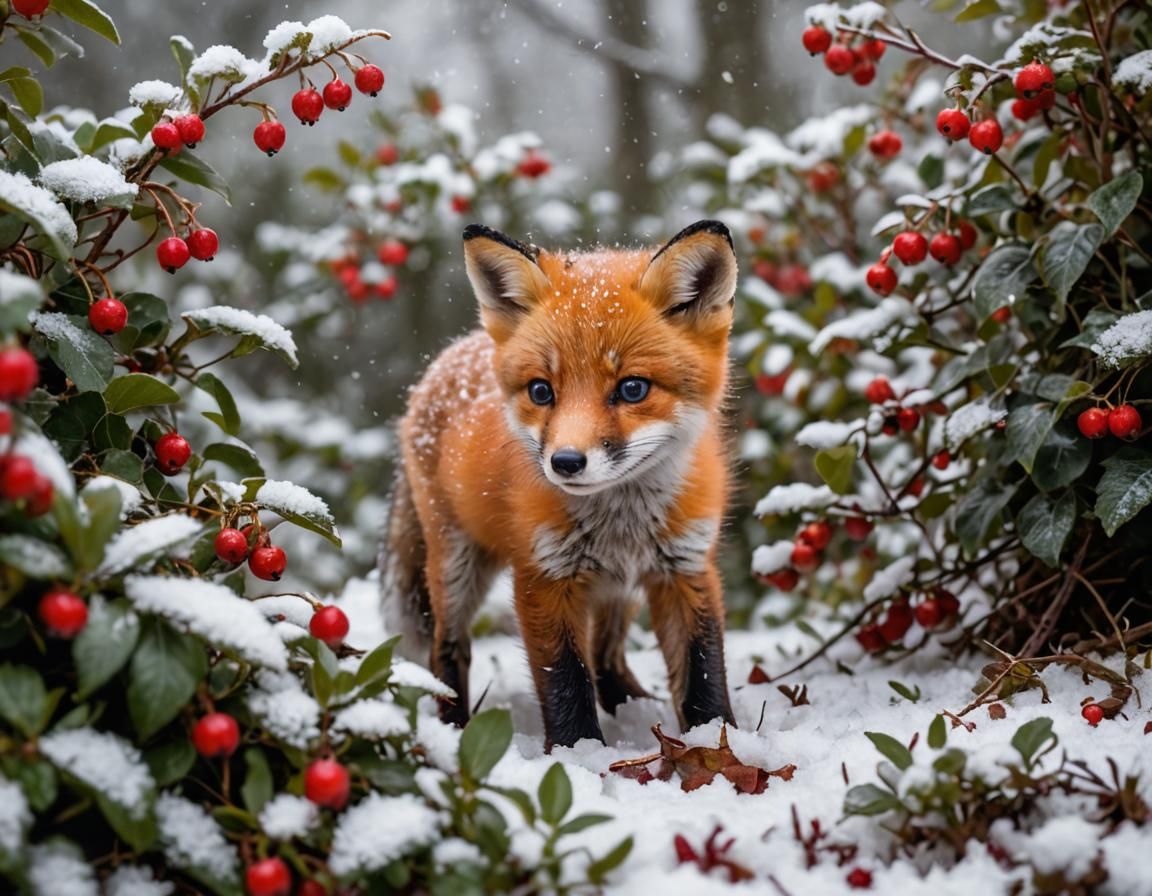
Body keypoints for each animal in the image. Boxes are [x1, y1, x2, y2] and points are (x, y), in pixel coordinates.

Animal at [381, 219, 738, 749]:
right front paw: (579, 753)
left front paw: (719, 739)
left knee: (607, 657)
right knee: (447, 648)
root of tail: (448, 357)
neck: (621, 521)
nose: (565, 462)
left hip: (618, 590)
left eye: (632, 388)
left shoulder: (686, 567)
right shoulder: (543, 576)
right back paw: (454, 727)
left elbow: (703, 672)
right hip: (455, 562)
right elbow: (565, 680)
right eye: (540, 391)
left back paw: (633, 707)